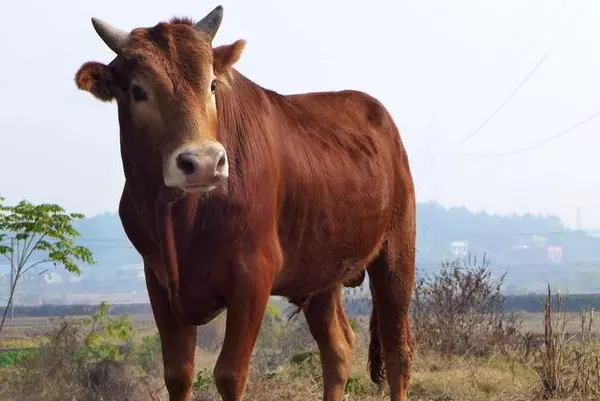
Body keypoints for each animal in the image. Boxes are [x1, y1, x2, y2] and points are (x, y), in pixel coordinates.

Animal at [75, 6, 414, 400]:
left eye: (211, 85)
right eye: (137, 91)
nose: (204, 162)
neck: (182, 216)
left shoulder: (253, 275)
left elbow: (230, 374)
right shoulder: (158, 280)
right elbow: (178, 374)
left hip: (396, 255)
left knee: (397, 349)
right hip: (321, 275)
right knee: (338, 348)